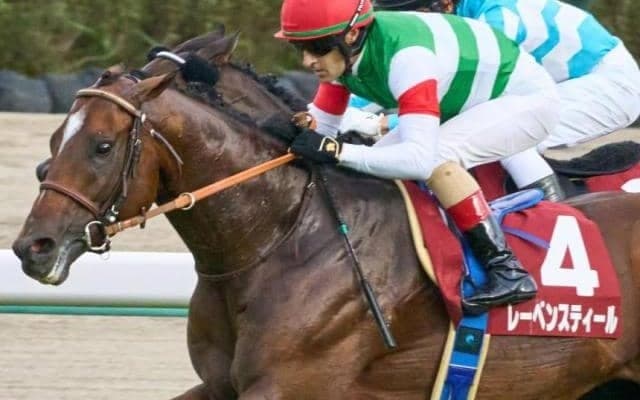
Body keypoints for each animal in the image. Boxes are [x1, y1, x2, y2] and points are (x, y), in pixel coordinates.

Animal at [11, 61, 640, 399]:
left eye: (102, 145)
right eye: (53, 140)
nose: (31, 247)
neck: (279, 238)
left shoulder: (289, 384)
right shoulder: (221, 385)